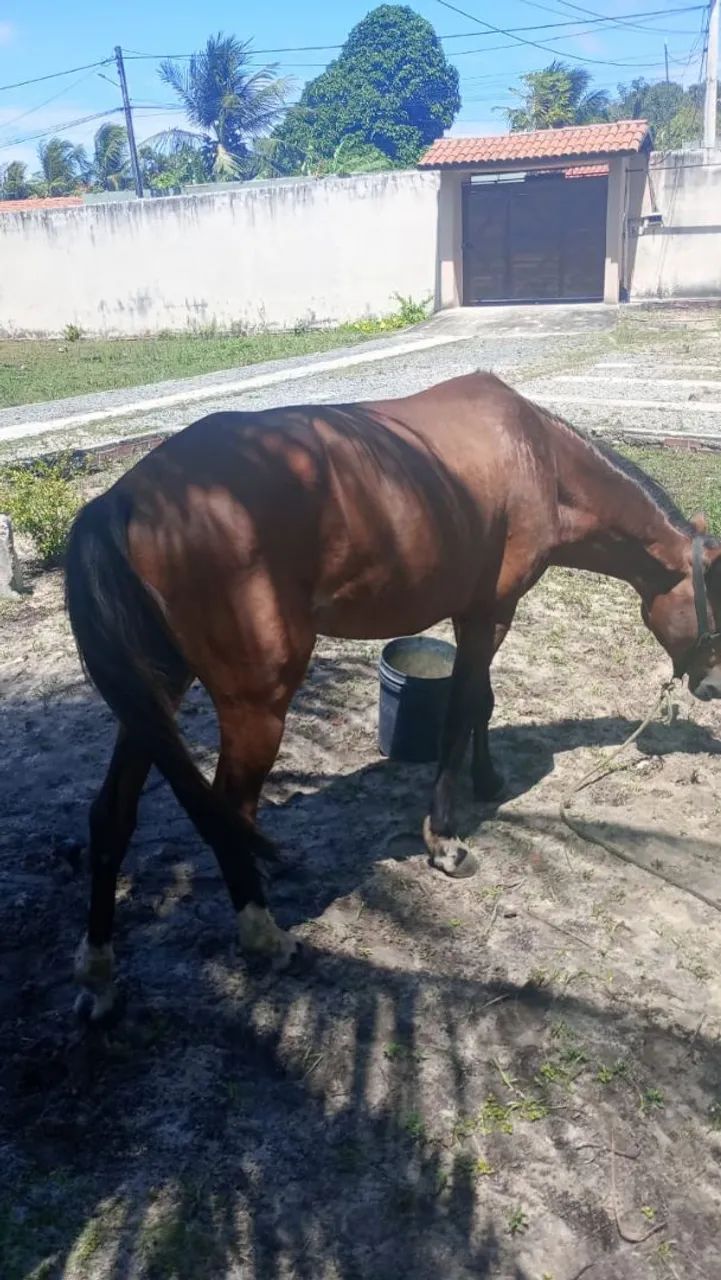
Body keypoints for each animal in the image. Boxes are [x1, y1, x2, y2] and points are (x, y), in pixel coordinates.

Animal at [65, 371, 721, 1020]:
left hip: (158, 691)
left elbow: (482, 702)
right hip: (257, 705)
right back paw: (264, 935)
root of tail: (124, 499)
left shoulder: (478, 611)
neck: (540, 457)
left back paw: (97, 973)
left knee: (113, 813)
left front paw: (487, 781)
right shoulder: (490, 612)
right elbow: (463, 710)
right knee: (230, 811)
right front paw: (445, 840)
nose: (711, 685)